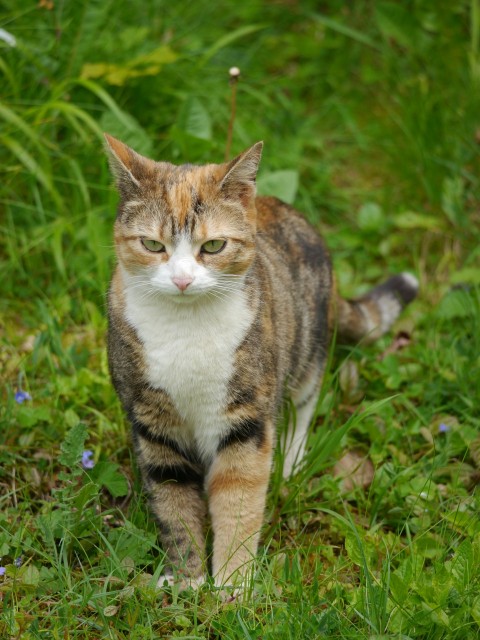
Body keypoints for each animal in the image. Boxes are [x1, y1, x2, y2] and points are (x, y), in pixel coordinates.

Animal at [104, 136, 416, 596]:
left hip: (306, 353)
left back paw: (291, 460)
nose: (182, 280)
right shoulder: (151, 422)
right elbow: (173, 500)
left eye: (213, 246)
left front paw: (233, 584)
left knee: (303, 405)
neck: (185, 330)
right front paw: (187, 580)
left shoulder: (245, 418)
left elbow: (239, 495)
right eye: (153, 245)